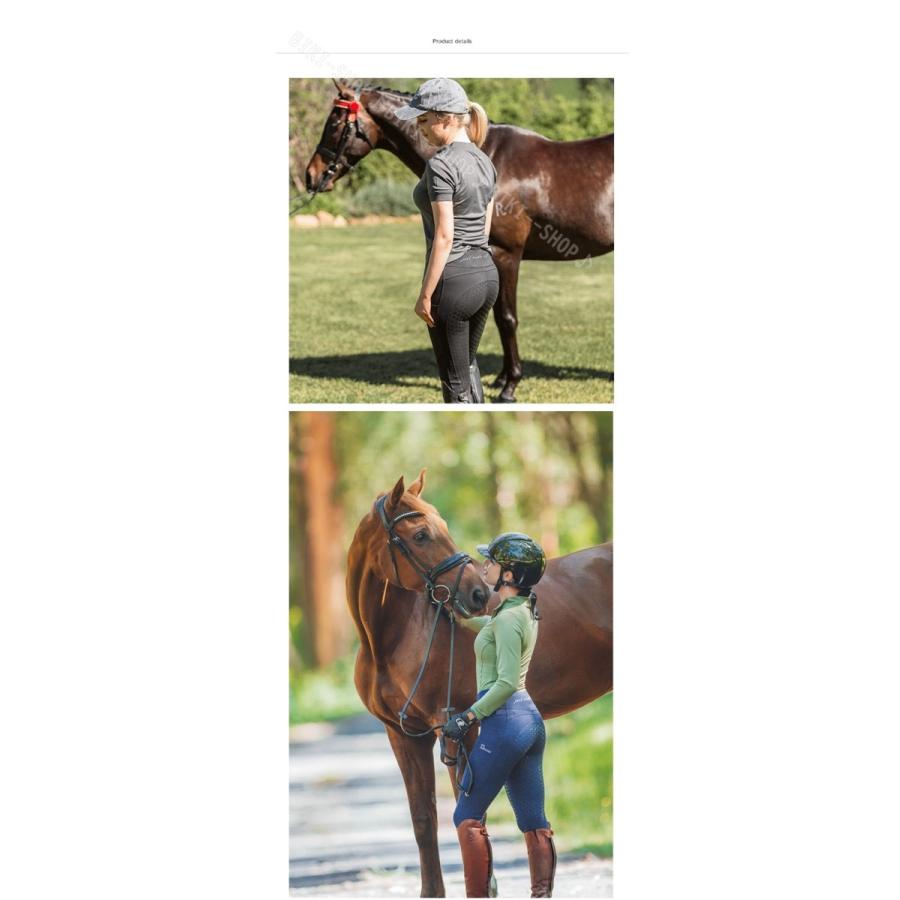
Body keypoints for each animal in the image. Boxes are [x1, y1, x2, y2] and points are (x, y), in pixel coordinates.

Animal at [298, 80, 614, 403]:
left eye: (334, 123)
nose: (311, 175)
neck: (487, 155)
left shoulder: (506, 254)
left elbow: (507, 319)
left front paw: (510, 386)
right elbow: (496, 316)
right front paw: (502, 378)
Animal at [345, 470, 613, 897]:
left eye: (443, 527)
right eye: (420, 534)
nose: (477, 594)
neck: (396, 638)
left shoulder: (456, 728)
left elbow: (468, 813)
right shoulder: (404, 735)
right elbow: (424, 819)